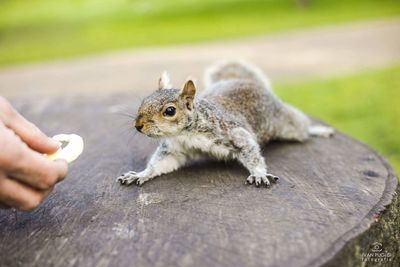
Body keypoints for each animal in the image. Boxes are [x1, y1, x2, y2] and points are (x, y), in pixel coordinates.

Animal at [116, 61, 334, 187]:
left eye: (170, 111)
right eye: (144, 100)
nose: (138, 125)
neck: (186, 134)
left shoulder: (233, 133)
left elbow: (252, 153)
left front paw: (259, 174)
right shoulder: (174, 149)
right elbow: (160, 163)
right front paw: (141, 174)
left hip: (286, 122)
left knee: (300, 126)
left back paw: (317, 130)